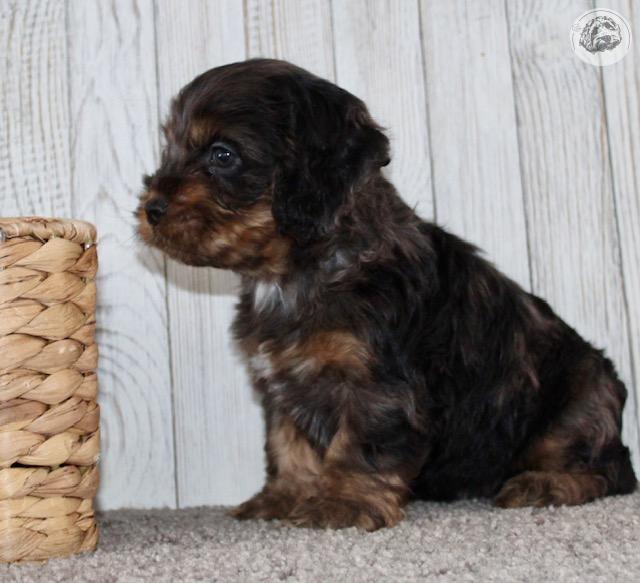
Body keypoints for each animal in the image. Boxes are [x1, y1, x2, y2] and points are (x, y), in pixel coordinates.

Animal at [137, 58, 637, 530]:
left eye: (222, 155)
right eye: (170, 146)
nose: (151, 209)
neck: (300, 272)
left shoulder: (379, 387)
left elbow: (361, 444)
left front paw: (342, 503)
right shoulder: (282, 384)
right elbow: (287, 443)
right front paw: (285, 496)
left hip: (576, 408)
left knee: (609, 471)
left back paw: (544, 483)